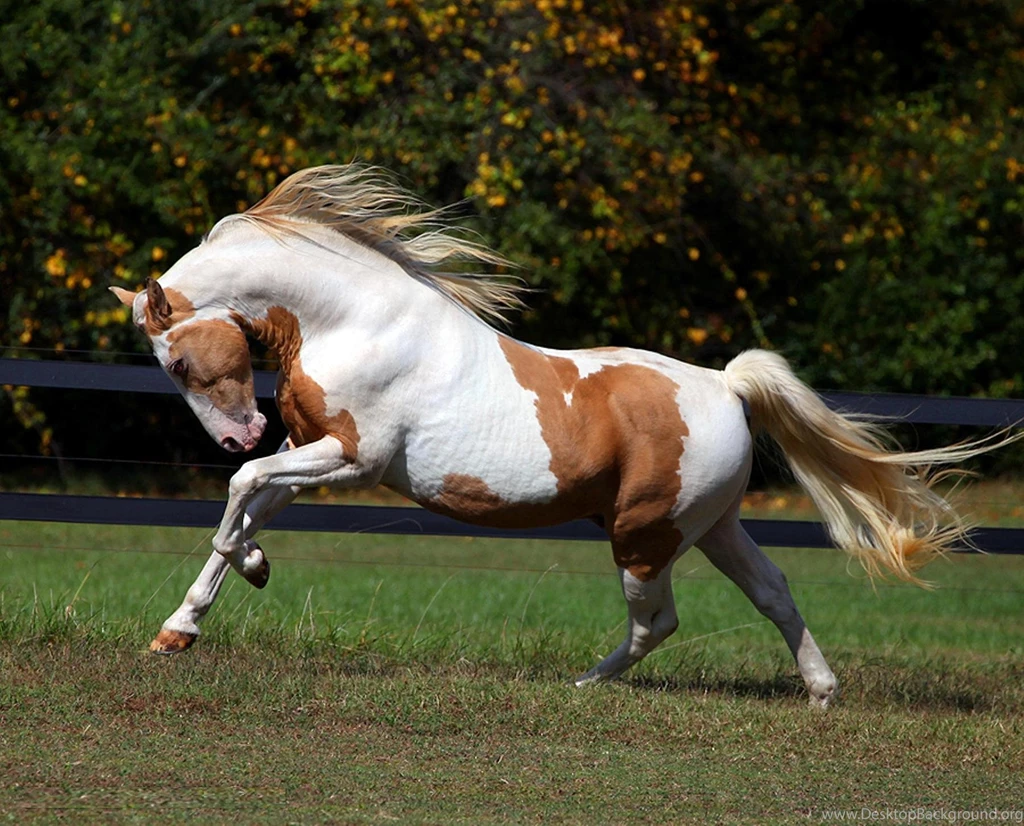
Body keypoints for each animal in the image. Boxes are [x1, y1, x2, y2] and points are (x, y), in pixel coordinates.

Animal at [112, 164, 1003, 707]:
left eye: (179, 362)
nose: (237, 432)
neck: (352, 320)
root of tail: (723, 386)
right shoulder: (309, 453)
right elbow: (251, 504)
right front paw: (186, 624)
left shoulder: (354, 460)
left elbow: (243, 492)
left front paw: (225, 584)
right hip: (713, 523)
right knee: (773, 591)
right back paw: (819, 691)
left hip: (644, 535)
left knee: (658, 621)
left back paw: (582, 685)